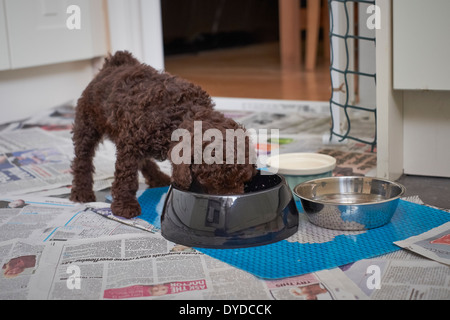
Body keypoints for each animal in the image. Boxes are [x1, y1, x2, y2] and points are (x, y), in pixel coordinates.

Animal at [70, 51, 256, 219]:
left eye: (243, 180)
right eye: (209, 183)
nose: (231, 208)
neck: (181, 112)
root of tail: (114, 63)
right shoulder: (131, 144)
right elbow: (127, 177)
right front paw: (125, 205)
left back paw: (157, 177)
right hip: (88, 123)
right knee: (82, 159)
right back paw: (81, 191)